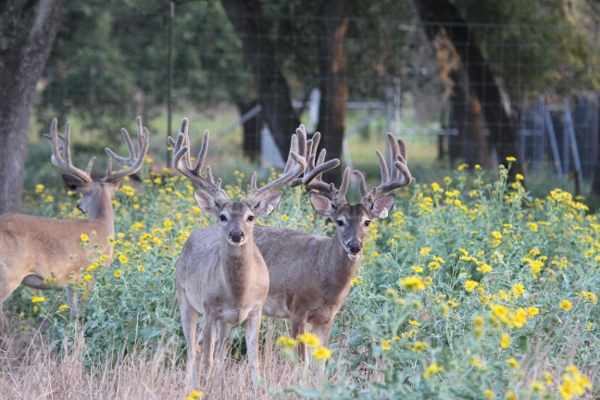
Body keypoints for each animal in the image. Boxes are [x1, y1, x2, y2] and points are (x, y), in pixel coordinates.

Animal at [0, 116, 149, 318]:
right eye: (82, 193)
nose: (79, 206)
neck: (101, 224)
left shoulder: (71, 283)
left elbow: (73, 314)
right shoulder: (90, 274)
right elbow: (83, 315)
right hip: (9, 274)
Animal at [168, 119, 312, 394]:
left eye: (251, 217)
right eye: (223, 216)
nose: (236, 234)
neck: (238, 294)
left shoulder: (255, 310)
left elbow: (253, 359)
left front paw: (259, 391)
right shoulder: (210, 310)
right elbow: (207, 358)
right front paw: (203, 391)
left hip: (225, 321)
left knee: (217, 353)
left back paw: (218, 386)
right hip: (185, 298)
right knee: (194, 350)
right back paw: (190, 388)